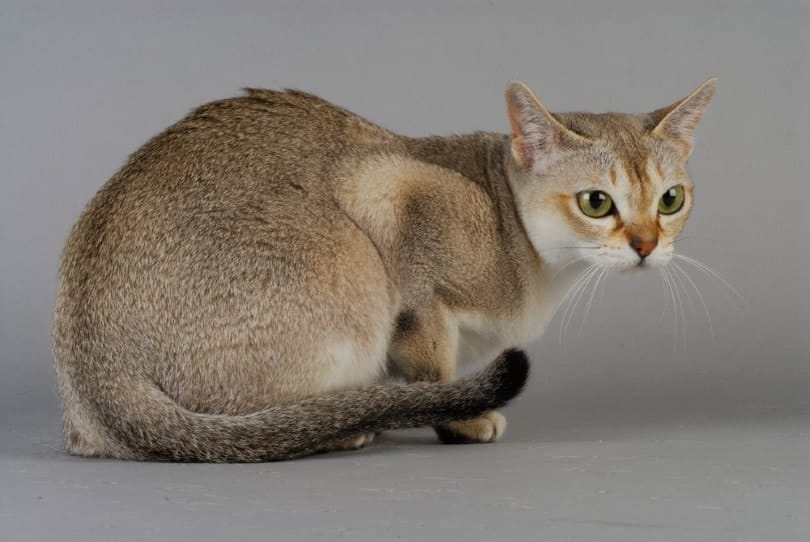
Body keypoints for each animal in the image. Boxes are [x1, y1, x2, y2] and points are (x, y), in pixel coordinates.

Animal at [53, 79, 712, 464]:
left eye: (670, 200)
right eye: (596, 203)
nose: (646, 244)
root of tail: (97, 367)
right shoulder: (390, 189)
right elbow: (433, 366)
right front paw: (461, 420)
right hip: (350, 263)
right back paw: (337, 426)